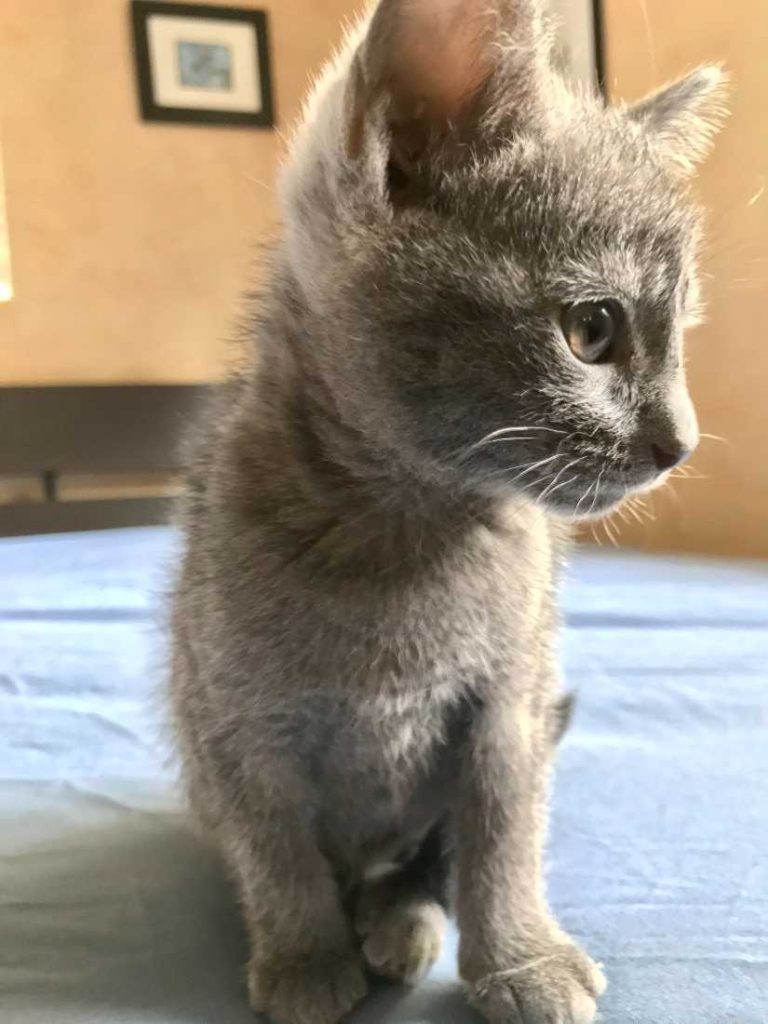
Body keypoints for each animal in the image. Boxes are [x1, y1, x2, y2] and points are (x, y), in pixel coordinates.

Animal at [170, 2, 726, 1023]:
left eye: (682, 342)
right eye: (592, 330)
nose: (681, 441)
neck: (405, 531)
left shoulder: (511, 703)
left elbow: (504, 836)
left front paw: (519, 956)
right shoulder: (231, 715)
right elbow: (274, 846)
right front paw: (304, 957)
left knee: (426, 857)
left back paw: (404, 918)